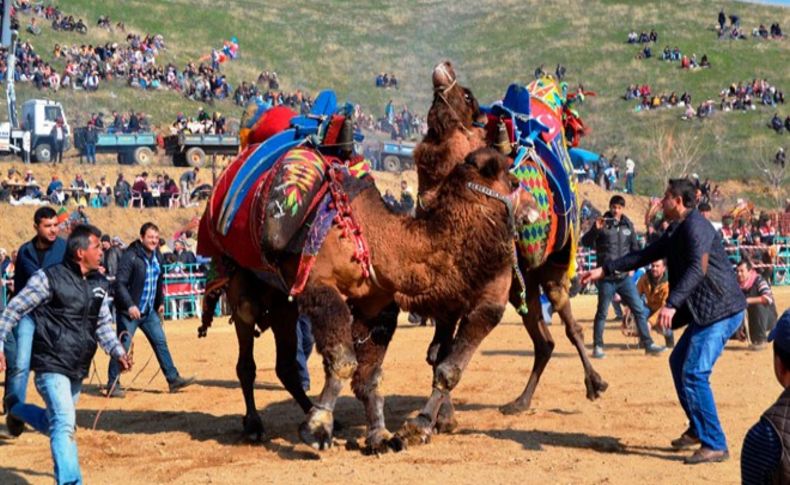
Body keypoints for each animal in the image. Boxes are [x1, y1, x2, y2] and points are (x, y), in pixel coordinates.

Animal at [201, 140, 540, 450]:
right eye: (514, 182)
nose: (533, 209)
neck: (376, 238)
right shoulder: (320, 286)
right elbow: (344, 361)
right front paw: (318, 427)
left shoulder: (374, 304)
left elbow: (369, 374)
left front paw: (378, 434)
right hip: (240, 279)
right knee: (246, 351)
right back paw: (255, 425)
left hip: (282, 298)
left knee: (285, 364)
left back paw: (317, 413)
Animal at [400, 61, 608, 446]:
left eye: (468, 96)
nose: (444, 69)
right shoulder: (449, 298)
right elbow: (438, 355)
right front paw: (443, 418)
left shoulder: (488, 301)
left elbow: (450, 365)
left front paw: (421, 423)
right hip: (524, 283)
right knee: (544, 341)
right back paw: (519, 402)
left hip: (554, 268)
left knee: (571, 326)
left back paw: (595, 382)